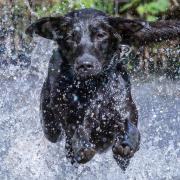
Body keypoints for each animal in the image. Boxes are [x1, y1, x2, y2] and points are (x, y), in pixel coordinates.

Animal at [26, 7, 179, 169]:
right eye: (70, 37)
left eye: (100, 35)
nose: (85, 65)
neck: (94, 87)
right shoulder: (70, 117)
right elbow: (78, 130)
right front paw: (83, 146)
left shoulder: (124, 108)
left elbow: (132, 128)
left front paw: (126, 145)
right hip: (50, 125)